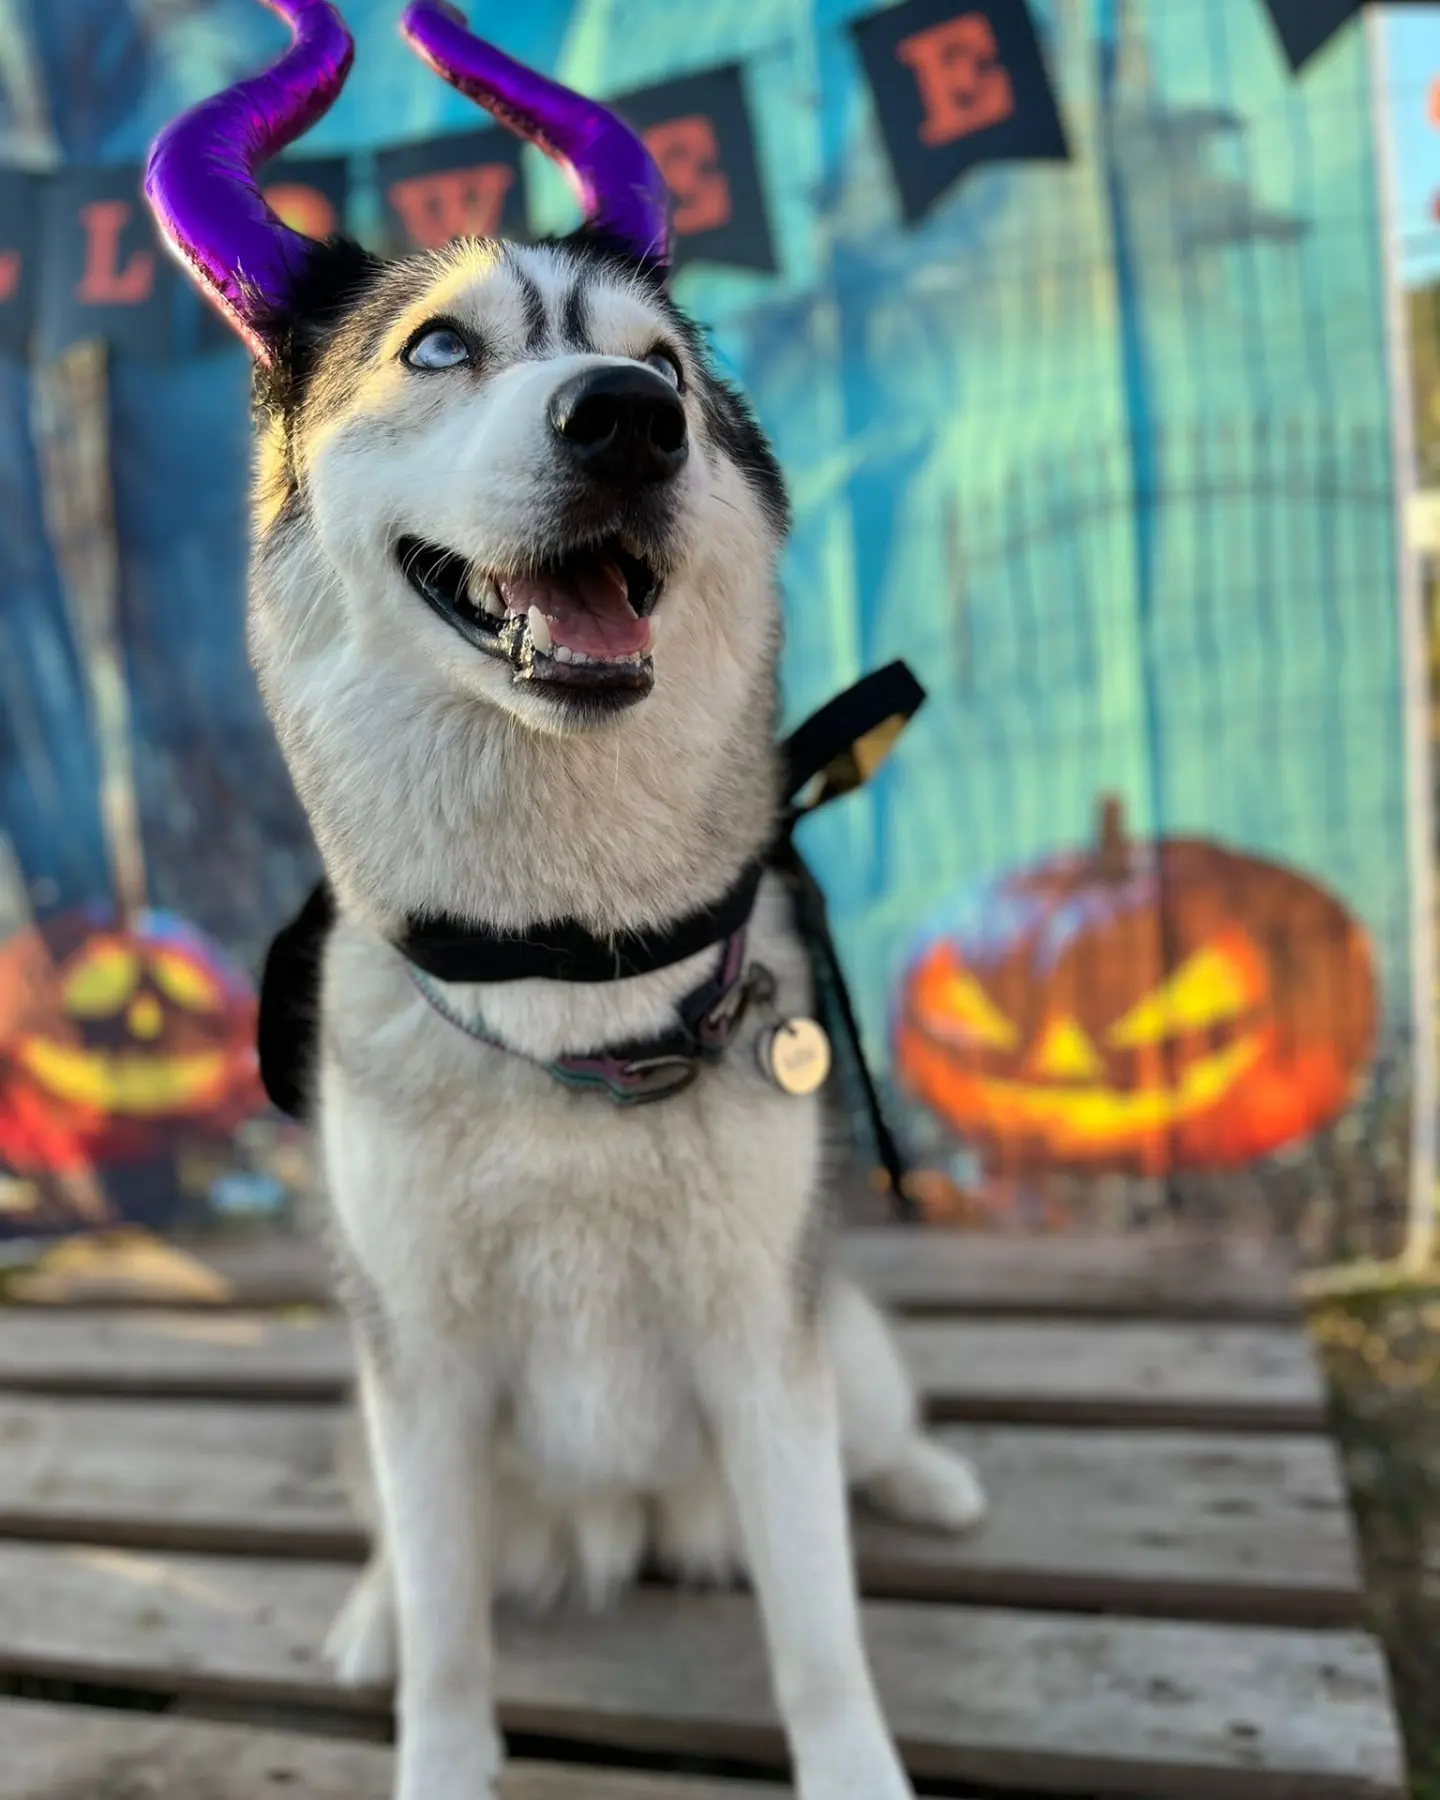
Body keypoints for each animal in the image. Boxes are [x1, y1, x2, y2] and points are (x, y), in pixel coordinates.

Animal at [143, 3, 979, 1800]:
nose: (623, 419)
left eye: (662, 369)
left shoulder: (765, 1343)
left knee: (876, 1436)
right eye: (438, 350)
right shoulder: (419, 1367)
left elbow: (821, 1632)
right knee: (404, 1543)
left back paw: (930, 1480)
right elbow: (451, 1643)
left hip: (842, 1349)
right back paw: (373, 1606)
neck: (564, 965)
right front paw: (432, 1719)